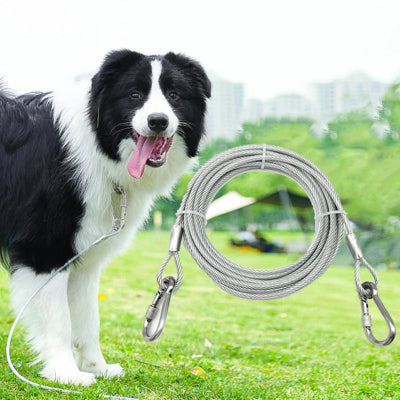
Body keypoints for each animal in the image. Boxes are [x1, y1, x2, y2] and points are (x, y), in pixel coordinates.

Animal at [0, 49, 211, 384]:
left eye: (174, 95)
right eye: (134, 95)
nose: (158, 121)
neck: (98, 146)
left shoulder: (84, 259)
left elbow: (88, 318)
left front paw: (96, 367)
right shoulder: (45, 250)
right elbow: (59, 320)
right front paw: (65, 373)